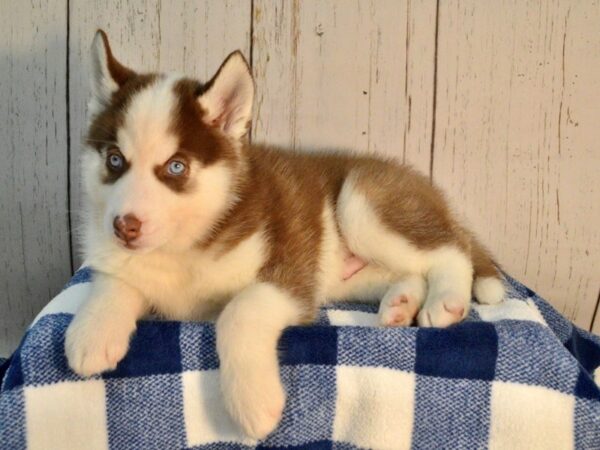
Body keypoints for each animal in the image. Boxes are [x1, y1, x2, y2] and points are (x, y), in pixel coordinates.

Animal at [65, 29, 504, 438]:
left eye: (176, 167)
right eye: (115, 161)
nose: (124, 226)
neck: (186, 245)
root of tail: (421, 183)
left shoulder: (290, 273)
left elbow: (239, 310)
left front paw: (253, 401)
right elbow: (115, 279)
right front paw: (92, 332)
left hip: (362, 203)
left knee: (452, 249)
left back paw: (445, 300)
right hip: (347, 274)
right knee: (409, 271)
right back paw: (400, 303)